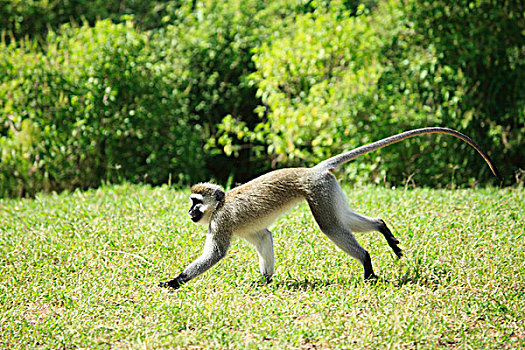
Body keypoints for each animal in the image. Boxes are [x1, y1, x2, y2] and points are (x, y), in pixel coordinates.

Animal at [159, 127, 500, 288]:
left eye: (195, 203)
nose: (189, 214)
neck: (219, 206)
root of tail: (312, 170)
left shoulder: (222, 224)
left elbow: (215, 254)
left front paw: (175, 281)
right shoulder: (244, 229)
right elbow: (265, 236)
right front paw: (266, 281)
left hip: (318, 192)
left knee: (331, 226)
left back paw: (367, 263)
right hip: (329, 191)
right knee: (345, 218)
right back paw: (382, 229)